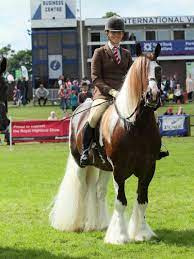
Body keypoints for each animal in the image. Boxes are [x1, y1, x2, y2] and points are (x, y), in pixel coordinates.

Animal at [50, 43, 162, 245]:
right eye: (140, 71)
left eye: (158, 69)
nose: (153, 96)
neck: (135, 125)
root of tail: (79, 109)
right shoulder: (119, 169)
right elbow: (121, 202)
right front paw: (120, 236)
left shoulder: (148, 168)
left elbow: (142, 200)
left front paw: (142, 233)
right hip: (81, 165)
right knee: (83, 191)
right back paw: (79, 224)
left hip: (104, 168)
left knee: (99, 192)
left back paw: (100, 224)